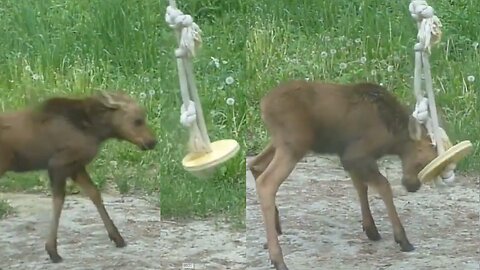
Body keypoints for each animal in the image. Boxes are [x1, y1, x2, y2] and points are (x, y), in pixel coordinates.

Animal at [0, 90, 158, 262]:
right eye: (137, 121)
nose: (152, 142)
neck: (95, 130)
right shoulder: (58, 164)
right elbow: (58, 201)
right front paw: (52, 250)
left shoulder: (76, 167)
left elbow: (94, 193)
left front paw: (117, 237)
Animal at [249, 80, 440, 270]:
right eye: (423, 162)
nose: (412, 186)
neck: (393, 139)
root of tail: (264, 105)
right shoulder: (356, 155)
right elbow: (383, 186)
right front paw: (402, 238)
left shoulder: (349, 158)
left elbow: (361, 186)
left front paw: (371, 229)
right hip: (294, 144)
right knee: (267, 182)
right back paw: (278, 259)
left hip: (280, 142)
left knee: (256, 165)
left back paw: (275, 230)